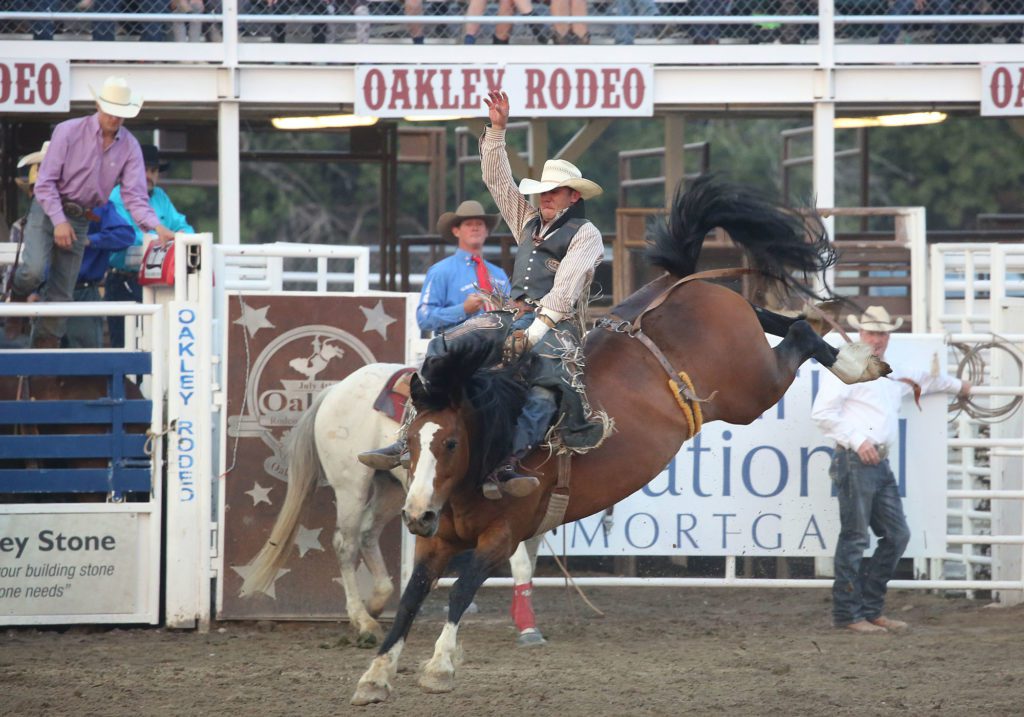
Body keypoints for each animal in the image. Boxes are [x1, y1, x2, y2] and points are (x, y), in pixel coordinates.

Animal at [238, 360, 548, 647]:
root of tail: (335, 389)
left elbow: (529, 562)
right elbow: (522, 563)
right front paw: (528, 628)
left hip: (393, 489)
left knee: (368, 532)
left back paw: (376, 602)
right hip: (352, 486)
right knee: (345, 543)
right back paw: (362, 621)